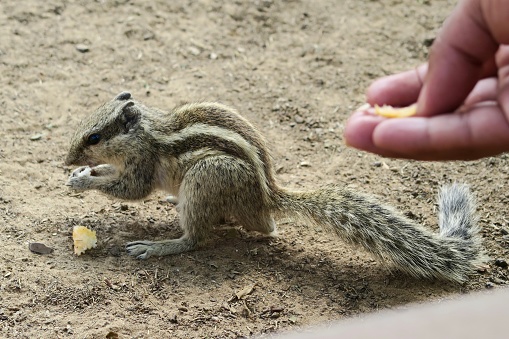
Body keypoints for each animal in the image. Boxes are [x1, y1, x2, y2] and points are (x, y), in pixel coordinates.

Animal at [65, 91, 482, 282]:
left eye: (94, 136)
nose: (66, 159)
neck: (146, 133)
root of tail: (267, 198)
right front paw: (82, 173)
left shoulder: (143, 166)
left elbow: (128, 190)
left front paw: (82, 180)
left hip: (207, 176)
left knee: (198, 238)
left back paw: (158, 246)